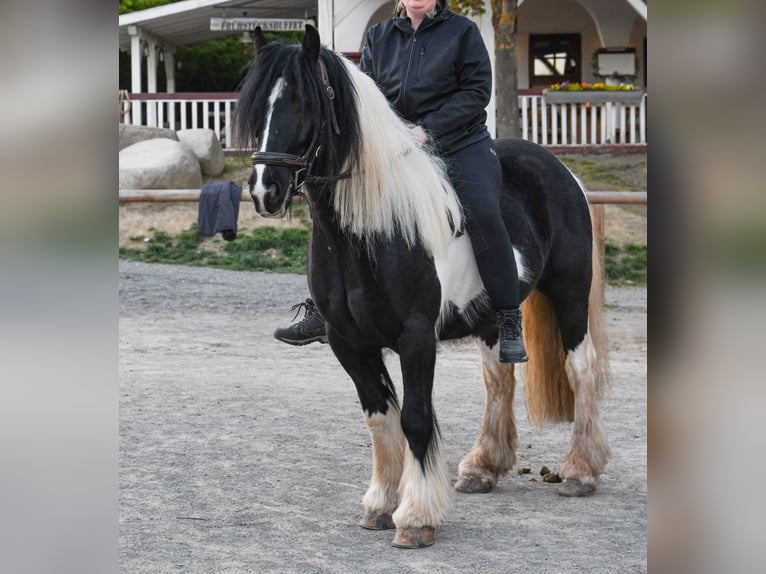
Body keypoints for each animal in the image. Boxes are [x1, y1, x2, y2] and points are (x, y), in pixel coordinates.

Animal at [237, 25, 611, 549]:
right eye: (255, 108)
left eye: (302, 103)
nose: (264, 191)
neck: (374, 231)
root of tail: (561, 170)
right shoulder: (348, 342)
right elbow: (379, 416)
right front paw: (380, 503)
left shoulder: (416, 338)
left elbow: (414, 418)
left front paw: (415, 517)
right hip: (492, 315)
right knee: (499, 377)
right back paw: (483, 466)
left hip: (570, 296)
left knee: (581, 368)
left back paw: (580, 471)